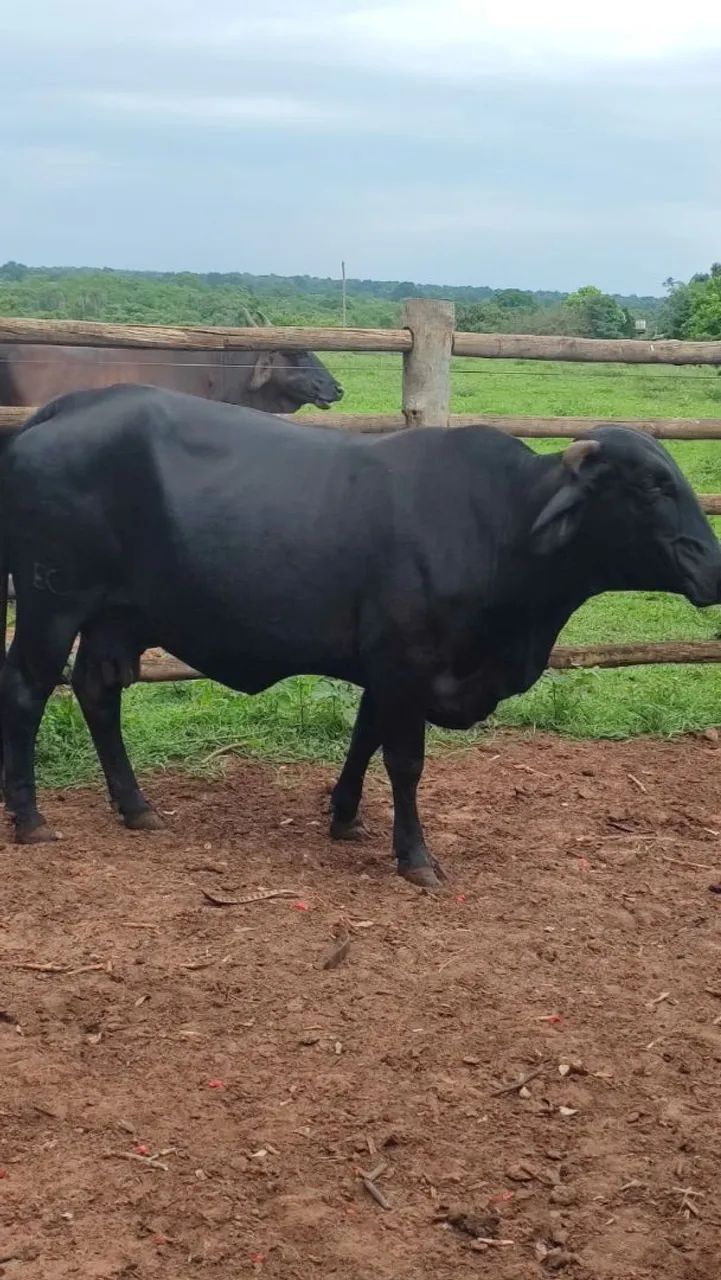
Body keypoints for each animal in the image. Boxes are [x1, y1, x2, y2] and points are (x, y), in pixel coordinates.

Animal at [0, 384, 719, 889]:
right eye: (653, 485)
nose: (712, 565)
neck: (499, 523)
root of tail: (65, 409)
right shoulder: (408, 664)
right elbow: (404, 760)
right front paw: (415, 855)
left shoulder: (386, 669)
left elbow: (363, 738)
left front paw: (344, 816)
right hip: (51, 605)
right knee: (27, 692)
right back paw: (30, 818)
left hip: (114, 617)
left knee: (98, 692)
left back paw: (135, 805)